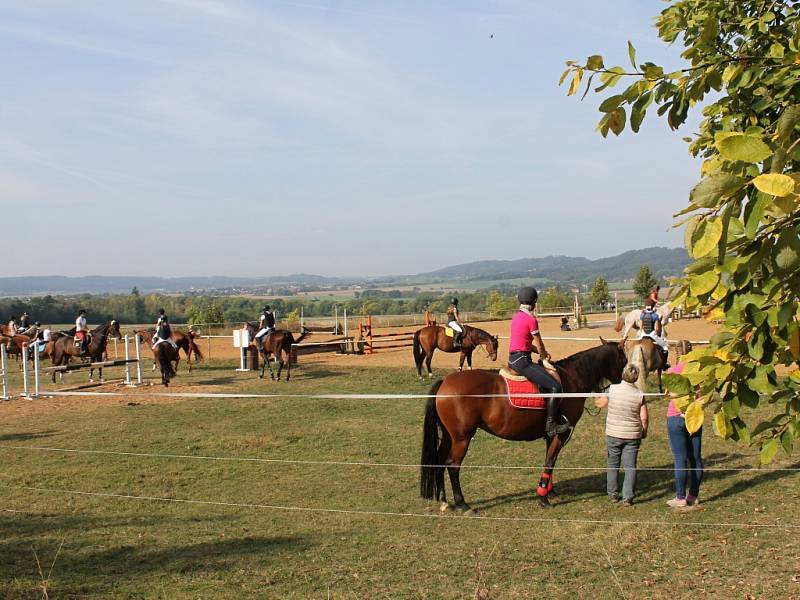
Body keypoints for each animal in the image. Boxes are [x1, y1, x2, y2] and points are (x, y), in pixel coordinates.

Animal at [422, 338, 628, 510]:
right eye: (624, 359)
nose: (629, 378)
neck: (572, 378)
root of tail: (444, 383)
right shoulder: (560, 434)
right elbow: (550, 462)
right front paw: (543, 497)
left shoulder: (550, 435)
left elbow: (549, 460)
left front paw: (548, 489)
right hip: (462, 438)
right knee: (453, 465)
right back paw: (462, 503)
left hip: (449, 436)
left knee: (439, 461)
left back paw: (444, 501)